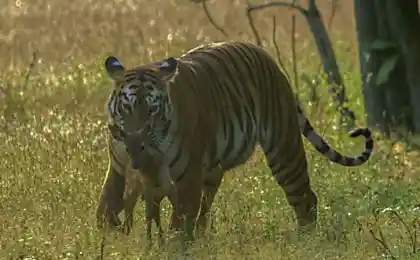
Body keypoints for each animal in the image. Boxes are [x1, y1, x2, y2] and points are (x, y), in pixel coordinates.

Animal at [103, 40, 372, 240]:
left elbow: (180, 220)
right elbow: (108, 201)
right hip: (214, 167)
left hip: (283, 150)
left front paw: (174, 245)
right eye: (127, 108)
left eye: (151, 110)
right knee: (206, 208)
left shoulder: (187, 175)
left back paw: (306, 242)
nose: (135, 139)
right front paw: (109, 235)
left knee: (305, 198)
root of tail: (271, 61)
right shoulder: (119, 165)